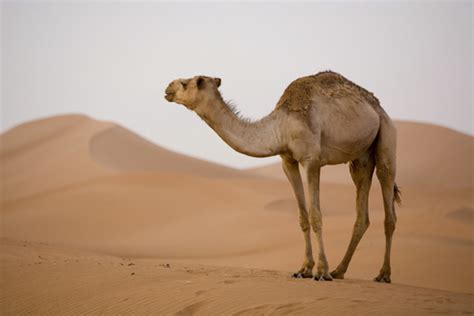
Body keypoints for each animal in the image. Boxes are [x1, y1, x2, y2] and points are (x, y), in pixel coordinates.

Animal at [163, 71, 400, 282]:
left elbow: (316, 215)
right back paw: (339, 271)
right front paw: (304, 269)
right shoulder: (288, 160)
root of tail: (379, 108)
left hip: (386, 137)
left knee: (388, 202)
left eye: (185, 83)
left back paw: (383, 274)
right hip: (361, 158)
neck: (281, 125)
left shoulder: (312, 159)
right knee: (362, 212)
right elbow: (302, 216)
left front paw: (321, 271)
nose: (167, 88)